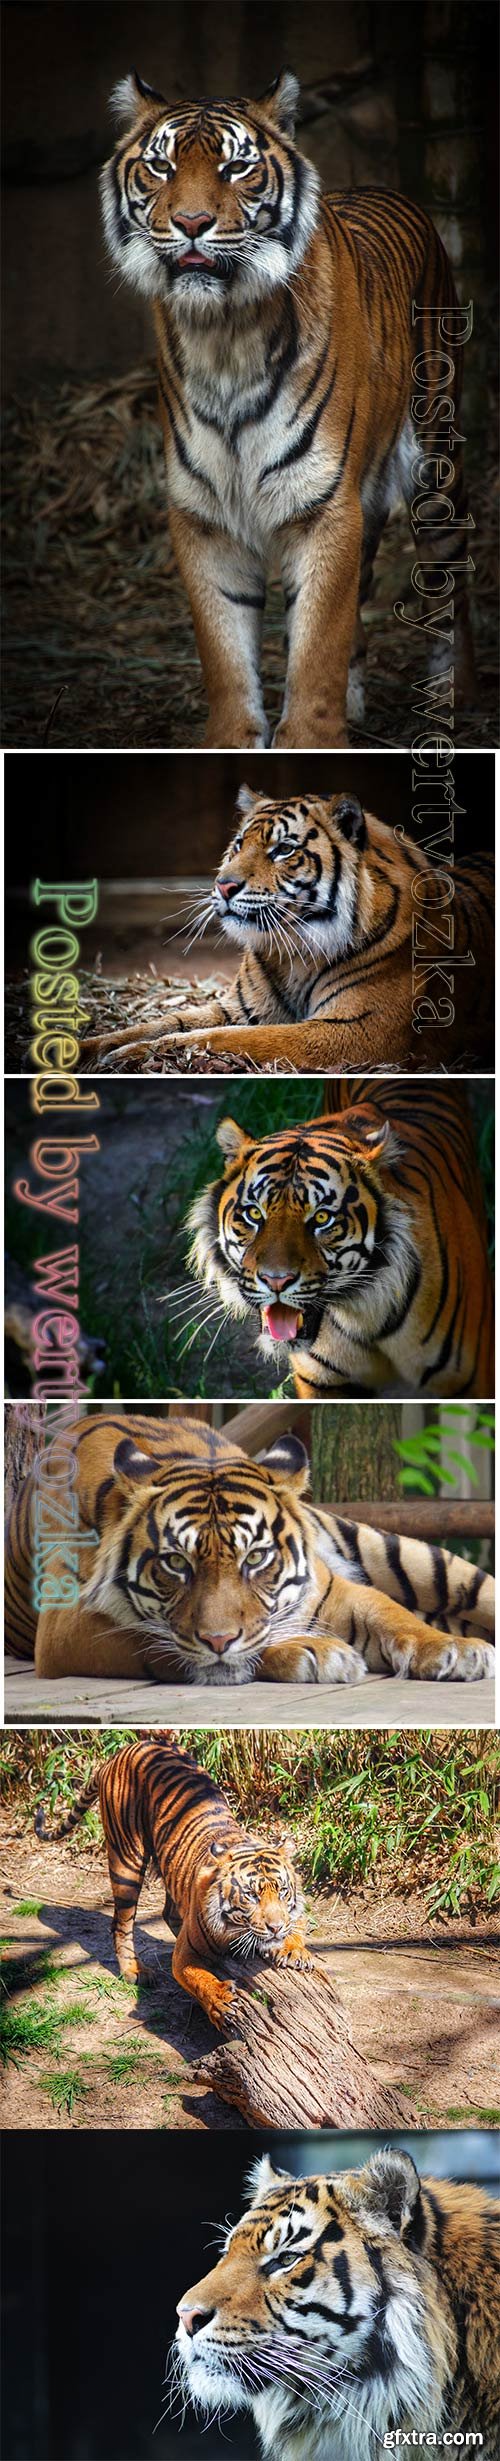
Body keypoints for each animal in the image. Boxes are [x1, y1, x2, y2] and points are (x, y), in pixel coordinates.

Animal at [5, 1408, 494, 1687]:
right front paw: (314, 1652)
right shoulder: (66, 1627)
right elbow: (157, 1640)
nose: (218, 1639)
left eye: (256, 1557)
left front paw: (452, 1650)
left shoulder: (330, 1588)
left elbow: (390, 1611)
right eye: (176, 1563)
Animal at [34, 1737, 309, 2027]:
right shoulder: (185, 1954)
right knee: (121, 1923)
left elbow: (296, 1924)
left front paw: (294, 1951)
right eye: (250, 1895)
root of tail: (118, 1754)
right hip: (126, 1859)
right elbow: (197, 1978)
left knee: (168, 1911)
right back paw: (134, 1970)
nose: (275, 1929)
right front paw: (221, 2003)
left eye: (282, 1891)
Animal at [81, 791, 494, 1074]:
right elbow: (158, 1024)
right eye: (238, 844)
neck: (295, 950)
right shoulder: (240, 1008)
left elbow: (228, 1038)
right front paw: (89, 1048)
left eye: (282, 849)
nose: (223, 886)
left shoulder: (357, 1028)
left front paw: (125, 1058)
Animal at [101, 68, 475, 750]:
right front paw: (233, 740)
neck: (223, 335)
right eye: (162, 167)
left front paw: (311, 740)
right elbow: (225, 653)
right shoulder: (204, 517)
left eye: (237, 167)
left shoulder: (324, 507)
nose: (191, 222)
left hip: (436, 470)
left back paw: (454, 699)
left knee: (448, 586)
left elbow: (317, 643)